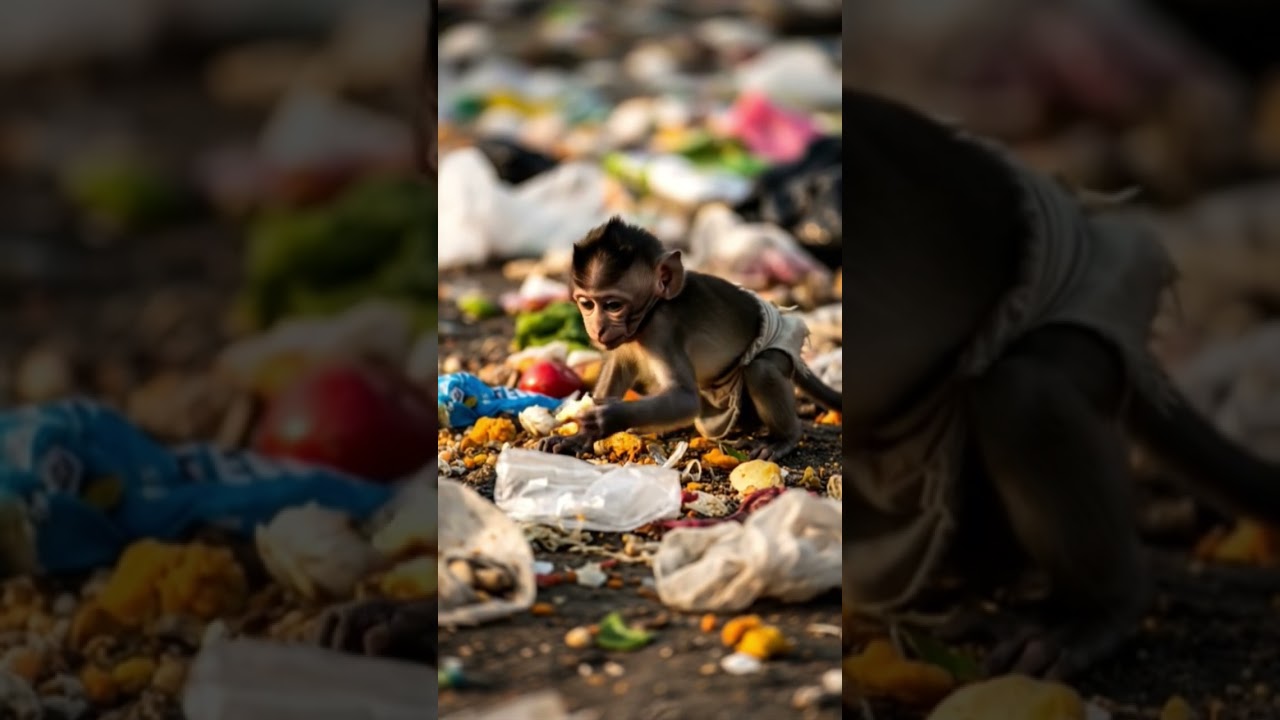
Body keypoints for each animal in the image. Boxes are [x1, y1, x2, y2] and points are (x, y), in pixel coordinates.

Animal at [538, 217, 842, 461]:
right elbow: (617, 370)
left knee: (762, 369)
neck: (650, 312)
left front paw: (605, 418)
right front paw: (578, 437)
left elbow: (684, 399)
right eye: (587, 304)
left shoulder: (661, 331)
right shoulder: (626, 339)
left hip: (777, 350)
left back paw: (784, 438)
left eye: (613, 305)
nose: (597, 328)